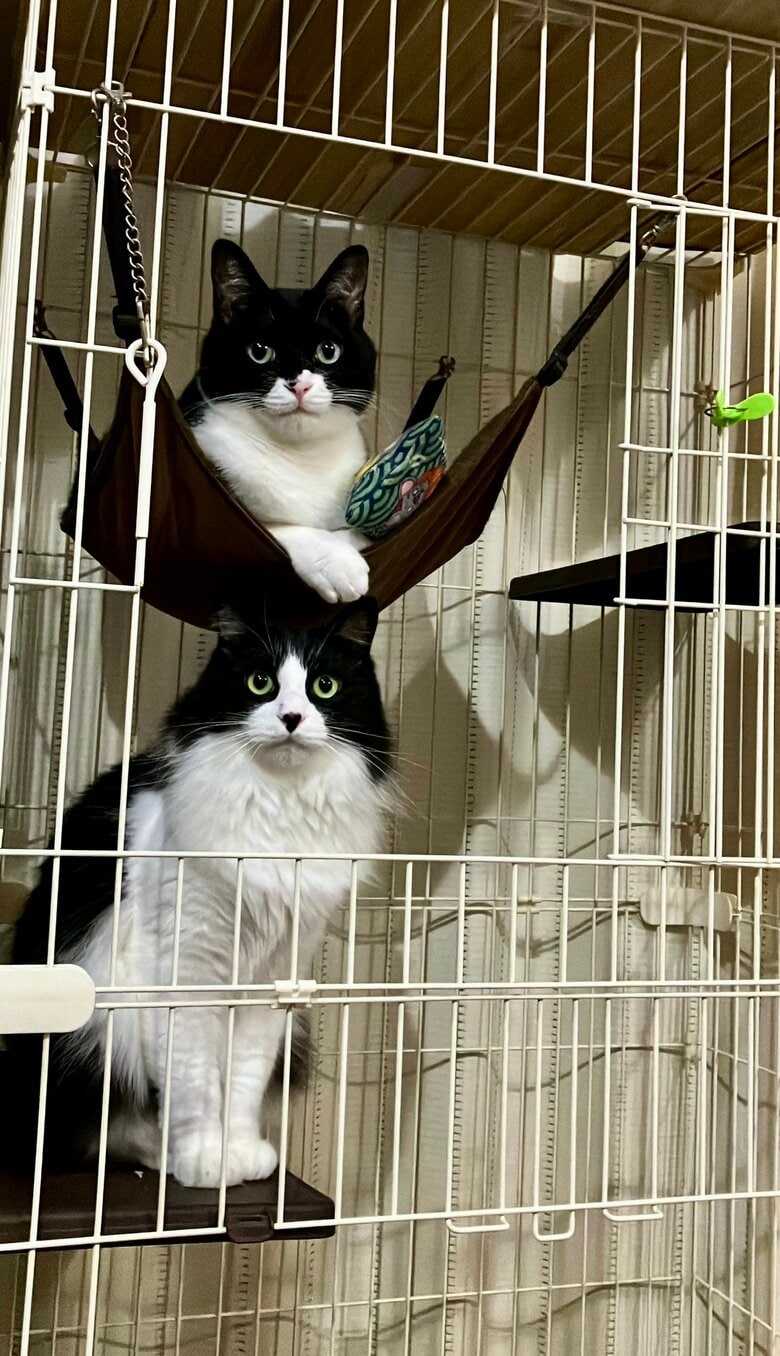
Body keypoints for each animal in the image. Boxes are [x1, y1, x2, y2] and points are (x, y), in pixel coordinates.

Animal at [8, 602, 392, 1187]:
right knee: (103, 1130)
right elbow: (191, 1082)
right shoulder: (183, 971)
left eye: (323, 686)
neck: (278, 808)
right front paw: (201, 1160)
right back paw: (154, 1155)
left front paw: (240, 1152)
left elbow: (244, 1081)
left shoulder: (273, 981)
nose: (291, 718)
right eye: (260, 682)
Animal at [180, 241, 377, 606]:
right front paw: (337, 563)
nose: (299, 386)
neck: (301, 456)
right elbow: (277, 526)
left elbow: (355, 533)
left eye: (328, 350)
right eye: (260, 351)